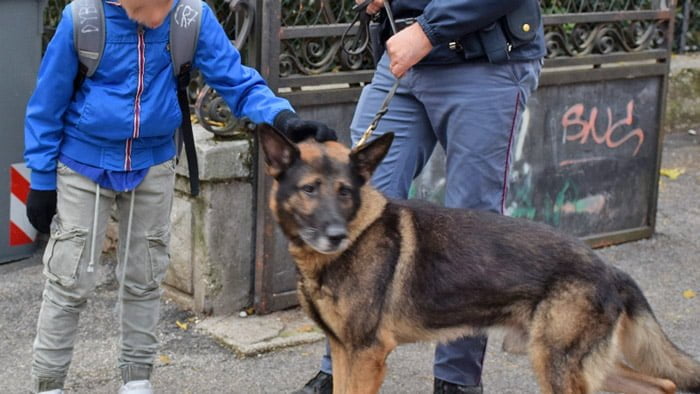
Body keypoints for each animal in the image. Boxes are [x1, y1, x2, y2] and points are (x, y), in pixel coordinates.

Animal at [258, 124, 700, 394]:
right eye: (310, 189)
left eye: (345, 191)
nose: (336, 236)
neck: (356, 236)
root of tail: (611, 269)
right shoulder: (344, 351)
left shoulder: (366, 354)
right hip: (563, 359)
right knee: (664, 384)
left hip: (556, 365)